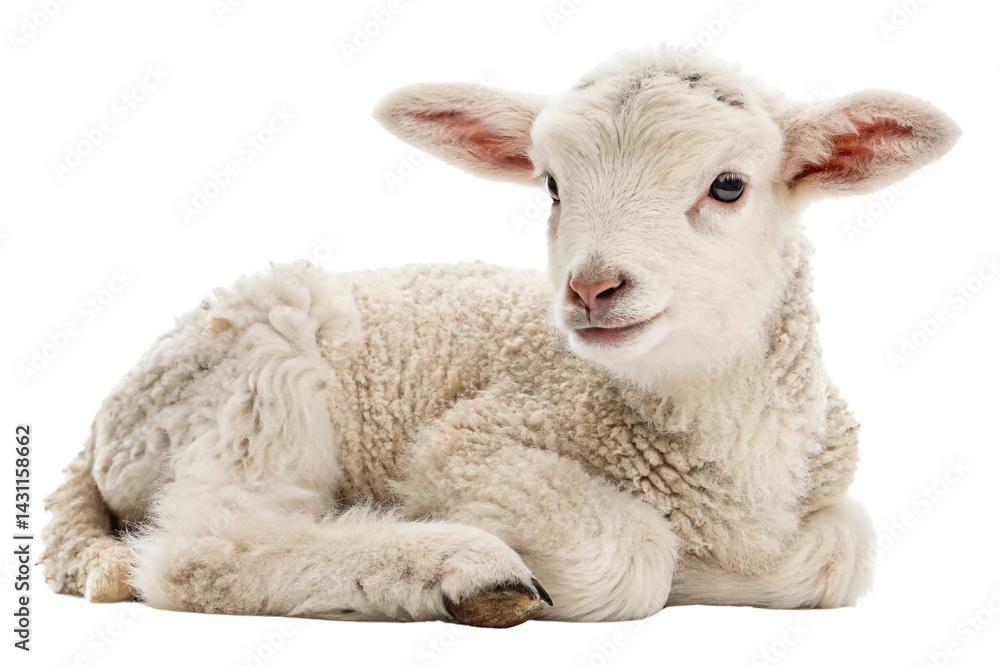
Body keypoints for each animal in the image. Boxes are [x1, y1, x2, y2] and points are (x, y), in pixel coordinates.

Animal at [42, 45, 960, 627]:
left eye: (728, 186)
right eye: (551, 186)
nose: (591, 288)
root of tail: (98, 431)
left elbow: (838, 551)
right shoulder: (467, 445)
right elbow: (632, 549)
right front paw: (677, 565)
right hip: (260, 374)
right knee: (203, 547)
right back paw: (461, 571)